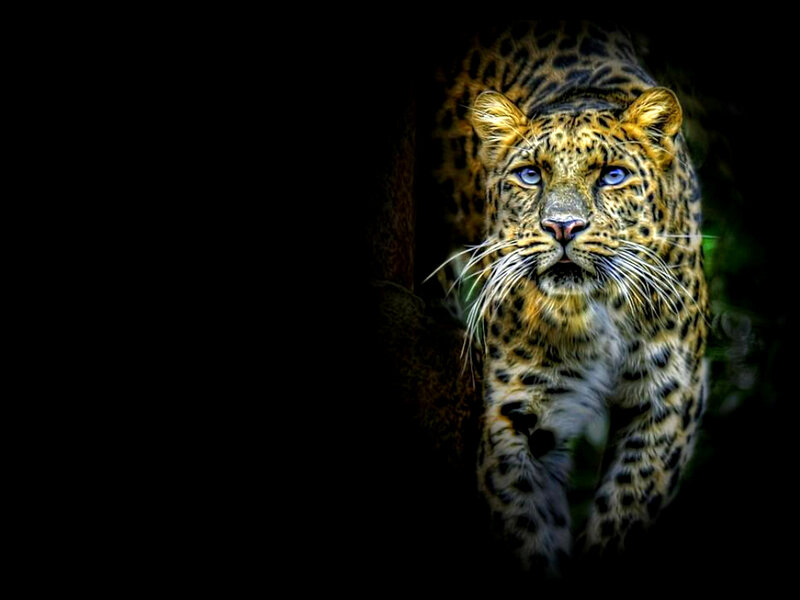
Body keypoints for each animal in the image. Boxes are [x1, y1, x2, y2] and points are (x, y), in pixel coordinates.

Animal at [429, 21, 709, 575]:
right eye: (531, 174)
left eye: (612, 176)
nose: (562, 226)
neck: (604, 313)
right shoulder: (521, 412)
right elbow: (528, 524)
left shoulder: (667, 403)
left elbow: (626, 509)